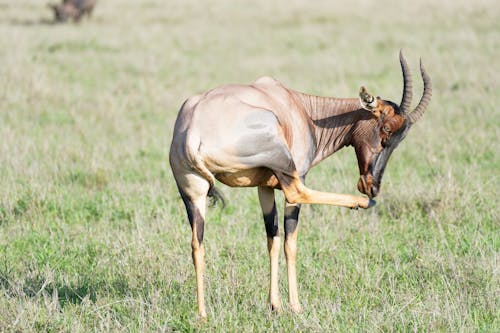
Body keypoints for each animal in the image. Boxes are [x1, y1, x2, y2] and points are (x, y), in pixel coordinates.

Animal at [168, 52, 430, 316]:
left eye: (400, 139)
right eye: (385, 129)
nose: (372, 186)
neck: (301, 108)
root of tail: (193, 132)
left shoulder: (263, 187)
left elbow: (272, 238)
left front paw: (275, 304)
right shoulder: (295, 175)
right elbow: (289, 242)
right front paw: (295, 305)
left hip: (192, 192)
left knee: (196, 244)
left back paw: (202, 313)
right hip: (285, 166)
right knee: (297, 195)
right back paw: (361, 203)